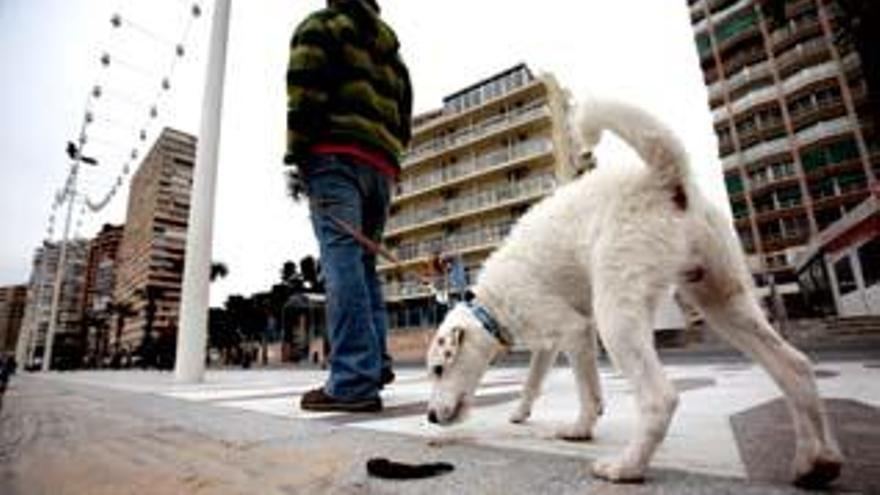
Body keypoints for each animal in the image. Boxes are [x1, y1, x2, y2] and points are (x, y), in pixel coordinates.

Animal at [426, 101, 844, 488]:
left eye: (438, 369)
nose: (428, 416)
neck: (490, 306)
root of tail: (665, 176)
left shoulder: (574, 329)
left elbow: (587, 391)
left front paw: (581, 429)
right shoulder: (551, 342)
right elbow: (534, 379)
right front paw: (522, 411)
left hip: (617, 317)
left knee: (659, 399)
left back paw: (627, 467)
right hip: (723, 302)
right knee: (795, 367)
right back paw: (815, 461)